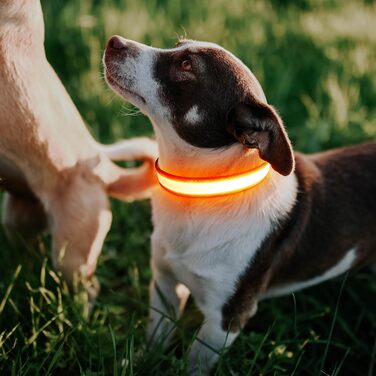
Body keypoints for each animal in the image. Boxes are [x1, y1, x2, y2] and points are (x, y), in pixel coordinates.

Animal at [103, 36, 376, 374]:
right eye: (176, 45)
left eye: (186, 65)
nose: (114, 41)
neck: (199, 194)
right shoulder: (165, 284)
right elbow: (156, 335)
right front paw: (140, 361)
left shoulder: (226, 319)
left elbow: (194, 363)